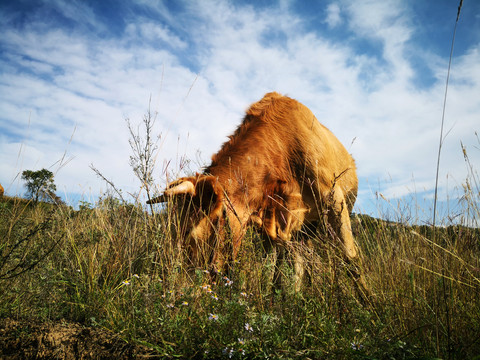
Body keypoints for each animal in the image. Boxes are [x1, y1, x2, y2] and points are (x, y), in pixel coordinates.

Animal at [149, 93, 364, 292]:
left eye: (190, 232)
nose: (180, 290)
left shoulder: (334, 198)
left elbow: (350, 256)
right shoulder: (272, 223)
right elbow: (270, 272)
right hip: (303, 231)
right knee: (301, 262)